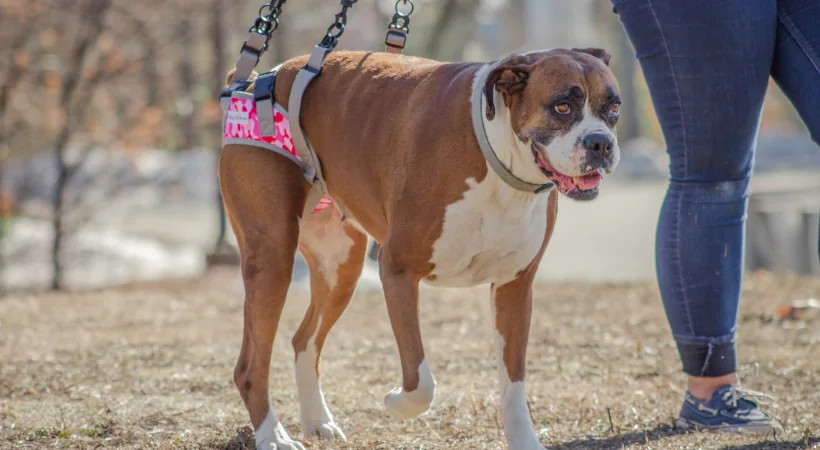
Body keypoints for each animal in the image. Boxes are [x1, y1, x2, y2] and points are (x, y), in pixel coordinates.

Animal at [221, 47, 620, 448]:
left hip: (341, 267)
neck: (497, 154)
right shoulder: (396, 269)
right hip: (273, 257)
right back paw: (273, 435)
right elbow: (420, 382)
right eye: (563, 107)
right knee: (250, 366)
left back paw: (317, 420)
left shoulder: (515, 288)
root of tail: (252, 81)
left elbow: (513, 386)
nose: (601, 143)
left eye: (614, 108)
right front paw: (394, 401)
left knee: (303, 340)